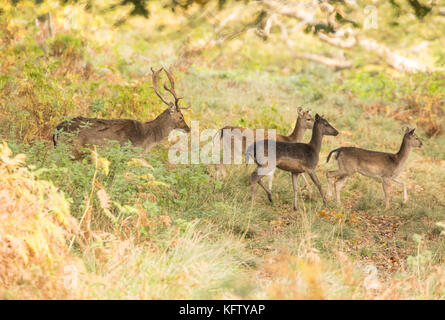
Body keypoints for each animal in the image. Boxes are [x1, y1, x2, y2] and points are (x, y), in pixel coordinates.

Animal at [53, 67, 189, 159]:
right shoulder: (129, 153)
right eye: (181, 117)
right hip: (70, 150)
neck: (147, 138)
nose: (188, 128)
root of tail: (56, 129)